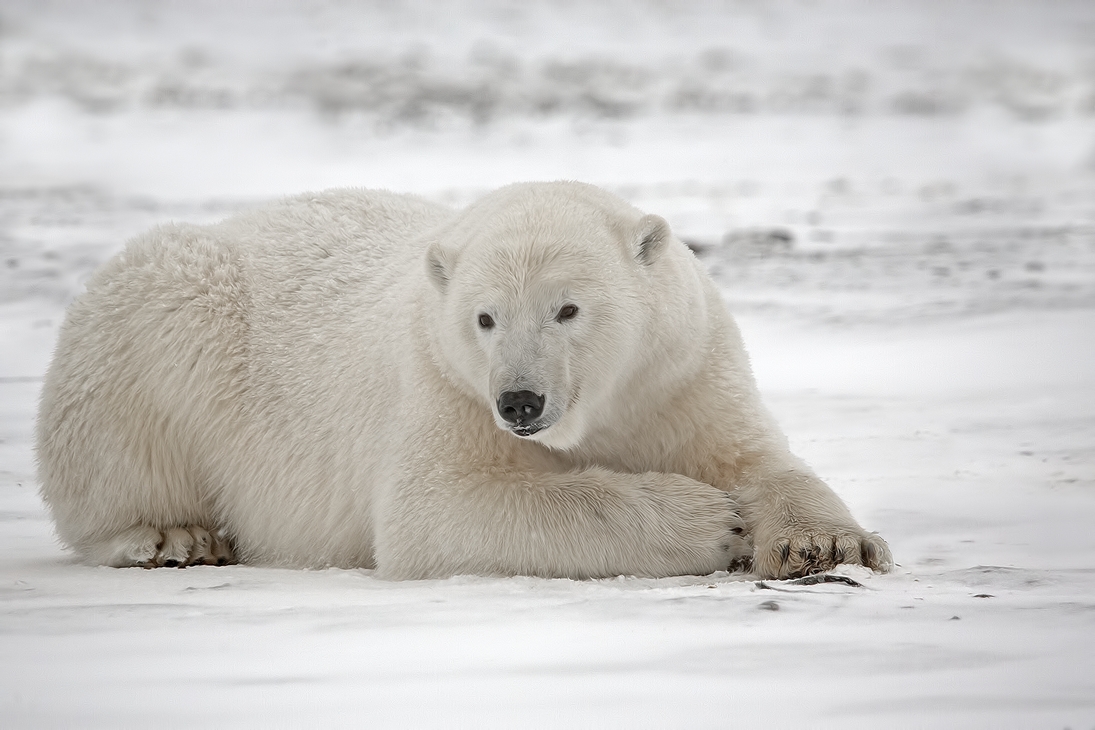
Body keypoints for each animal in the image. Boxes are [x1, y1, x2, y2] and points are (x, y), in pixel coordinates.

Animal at [36, 183, 889, 582]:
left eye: (567, 307)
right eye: (484, 317)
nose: (520, 401)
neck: (602, 406)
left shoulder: (682, 372)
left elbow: (758, 458)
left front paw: (823, 540)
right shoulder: (440, 381)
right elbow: (439, 508)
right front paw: (710, 521)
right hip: (164, 317)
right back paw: (171, 536)